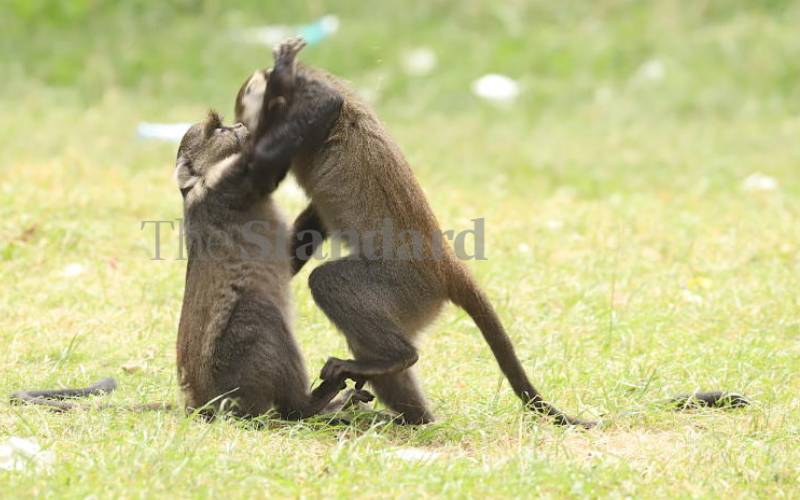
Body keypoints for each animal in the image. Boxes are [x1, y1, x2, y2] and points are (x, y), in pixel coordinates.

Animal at [234, 39, 750, 428]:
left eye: (248, 110)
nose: (242, 126)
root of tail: (445, 264)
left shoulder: (307, 95)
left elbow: (328, 105)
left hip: (406, 285)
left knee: (333, 282)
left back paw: (395, 359)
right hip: (413, 301)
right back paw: (412, 414)